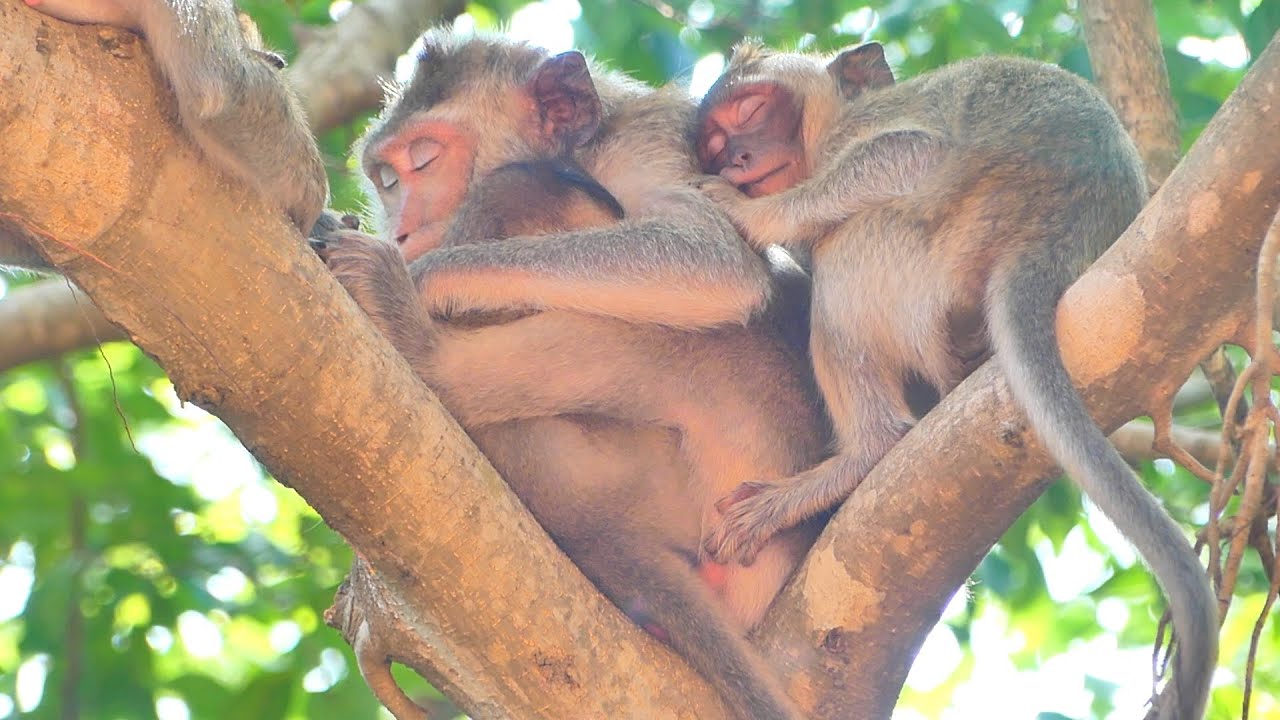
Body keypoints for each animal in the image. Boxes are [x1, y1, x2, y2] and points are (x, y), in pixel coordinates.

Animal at [309, 30, 831, 720]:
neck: (586, 148)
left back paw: (419, 341)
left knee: (520, 187)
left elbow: (711, 261)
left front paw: (423, 276)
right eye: (387, 178)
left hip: (695, 467)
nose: (400, 227)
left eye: (425, 160)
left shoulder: (648, 144)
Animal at [692, 41, 1217, 719]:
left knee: (845, 246)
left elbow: (910, 154)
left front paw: (752, 214)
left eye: (751, 111)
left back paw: (866, 452)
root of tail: (1053, 237)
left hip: (922, 248)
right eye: (714, 143)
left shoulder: (862, 134)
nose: (737, 160)